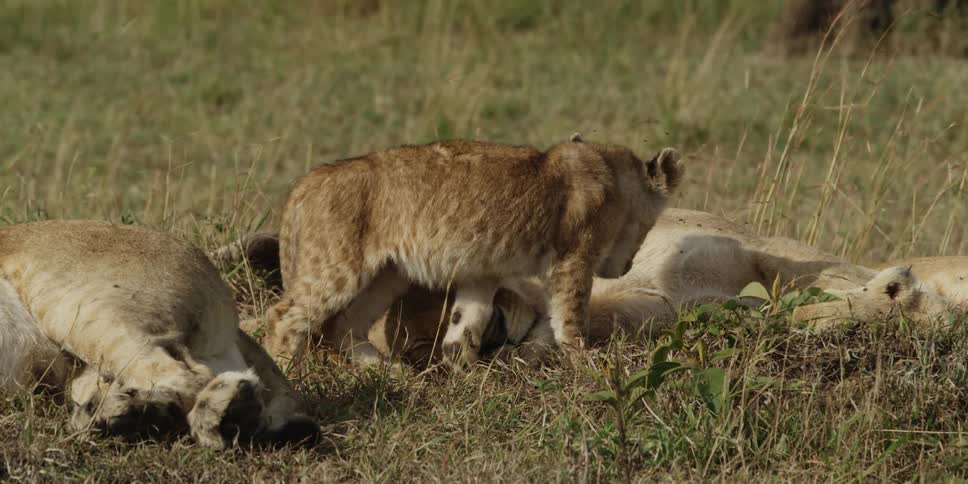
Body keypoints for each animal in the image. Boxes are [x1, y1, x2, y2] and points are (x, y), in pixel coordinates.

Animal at [259, 136, 683, 367]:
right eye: (648, 226)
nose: (624, 268)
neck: (610, 170)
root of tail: (306, 181)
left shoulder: (481, 271)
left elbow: (464, 327)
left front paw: (469, 373)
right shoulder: (573, 258)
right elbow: (570, 317)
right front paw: (587, 361)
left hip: (387, 275)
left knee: (344, 325)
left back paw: (390, 373)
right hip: (336, 266)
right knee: (283, 317)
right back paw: (286, 372)